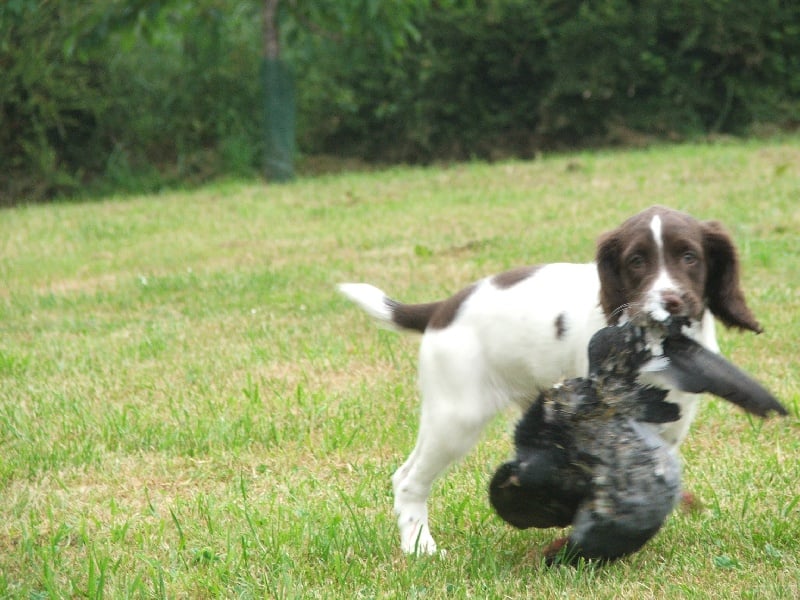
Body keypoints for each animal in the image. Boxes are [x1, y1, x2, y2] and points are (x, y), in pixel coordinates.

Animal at [338, 206, 764, 552]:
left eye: (690, 257)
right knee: (409, 479)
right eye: (636, 261)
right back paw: (420, 548)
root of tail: (445, 307)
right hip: (457, 417)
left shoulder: (668, 426)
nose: (670, 302)